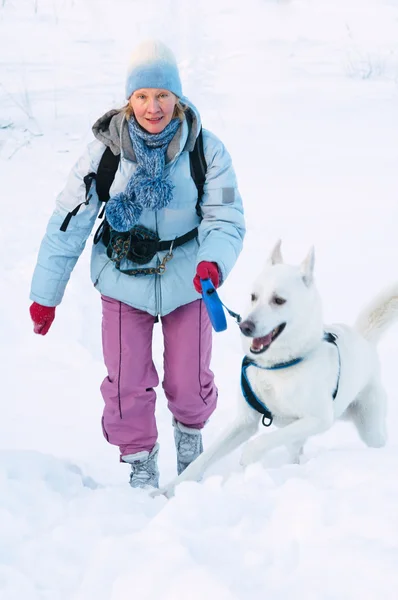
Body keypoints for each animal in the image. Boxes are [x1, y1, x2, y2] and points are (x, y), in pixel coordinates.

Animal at [156, 241, 398, 500]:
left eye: (279, 300)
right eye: (253, 297)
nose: (245, 326)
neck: (277, 366)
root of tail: (364, 339)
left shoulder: (318, 419)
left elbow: (262, 441)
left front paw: (248, 457)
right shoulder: (245, 422)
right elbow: (203, 458)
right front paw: (170, 488)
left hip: (369, 426)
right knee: (294, 454)